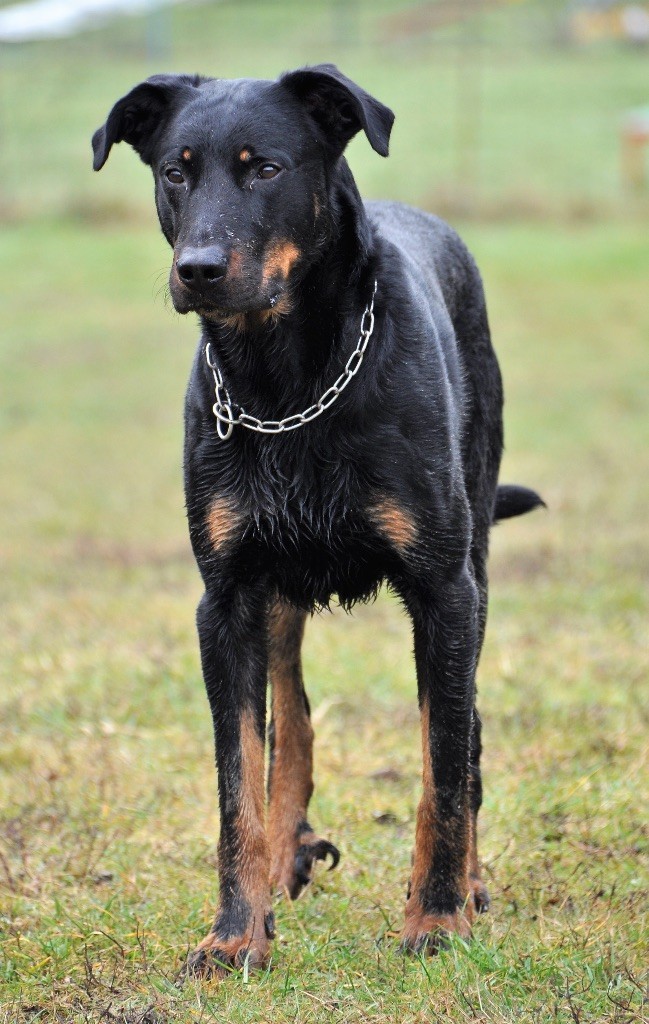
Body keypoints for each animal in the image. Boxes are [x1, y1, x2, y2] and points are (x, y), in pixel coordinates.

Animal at [93, 64, 544, 974]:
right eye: (175, 172)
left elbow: (443, 764)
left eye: (265, 168)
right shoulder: (226, 598)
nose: (197, 269)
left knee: (466, 733)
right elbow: (240, 778)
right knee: (291, 717)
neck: (286, 382)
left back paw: (469, 883)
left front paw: (436, 916)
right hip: (276, 591)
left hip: (476, 559)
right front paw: (236, 931)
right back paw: (285, 851)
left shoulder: (443, 591)